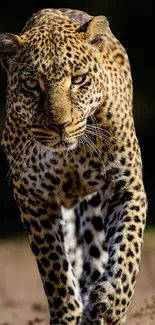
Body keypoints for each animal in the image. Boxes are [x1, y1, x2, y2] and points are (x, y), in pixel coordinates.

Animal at [0, 6, 147, 324]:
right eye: (32, 84)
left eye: (78, 79)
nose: (60, 126)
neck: (70, 155)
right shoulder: (34, 199)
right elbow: (55, 268)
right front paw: (68, 314)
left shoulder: (126, 187)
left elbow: (127, 254)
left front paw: (108, 307)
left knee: (97, 256)